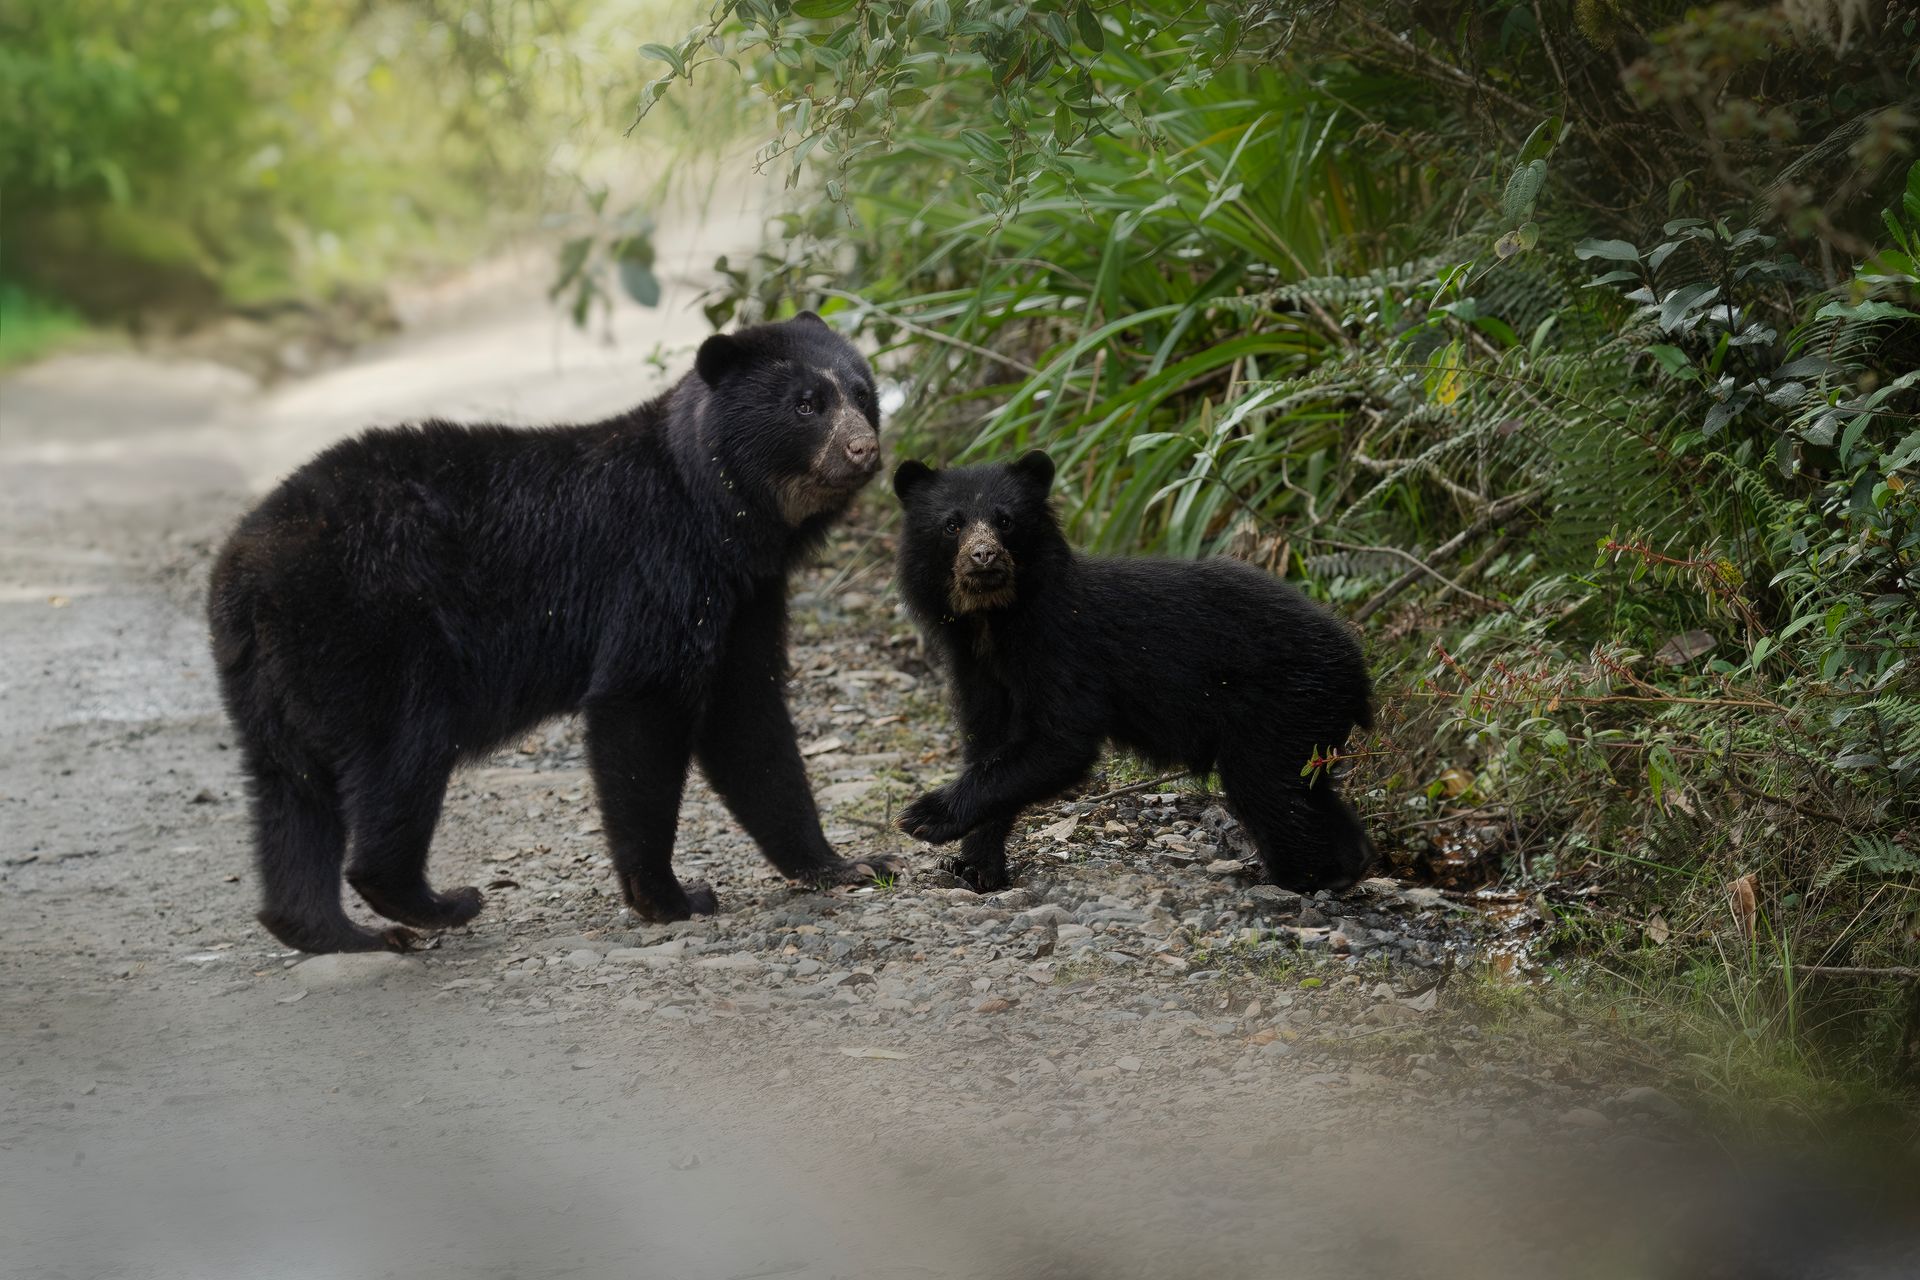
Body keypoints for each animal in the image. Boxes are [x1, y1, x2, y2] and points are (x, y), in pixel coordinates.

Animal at [208, 311, 900, 954]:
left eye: (863, 394)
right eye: (806, 404)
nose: (864, 449)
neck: (724, 518)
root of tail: (242, 568)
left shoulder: (746, 598)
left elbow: (748, 717)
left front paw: (847, 863)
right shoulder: (659, 569)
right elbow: (642, 702)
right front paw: (671, 896)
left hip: (271, 677)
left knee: (290, 793)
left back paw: (332, 930)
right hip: (371, 634)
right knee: (400, 757)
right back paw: (438, 902)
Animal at [890, 450, 1375, 894]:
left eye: (1005, 521)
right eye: (951, 525)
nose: (984, 556)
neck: (994, 621)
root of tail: (1358, 664)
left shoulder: (1060, 647)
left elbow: (1060, 740)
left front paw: (922, 817)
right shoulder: (976, 669)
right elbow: (989, 741)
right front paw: (972, 868)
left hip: (1286, 702)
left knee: (1270, 788)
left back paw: (1303, 876)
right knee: (1303, 791)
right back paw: (1347, 865)